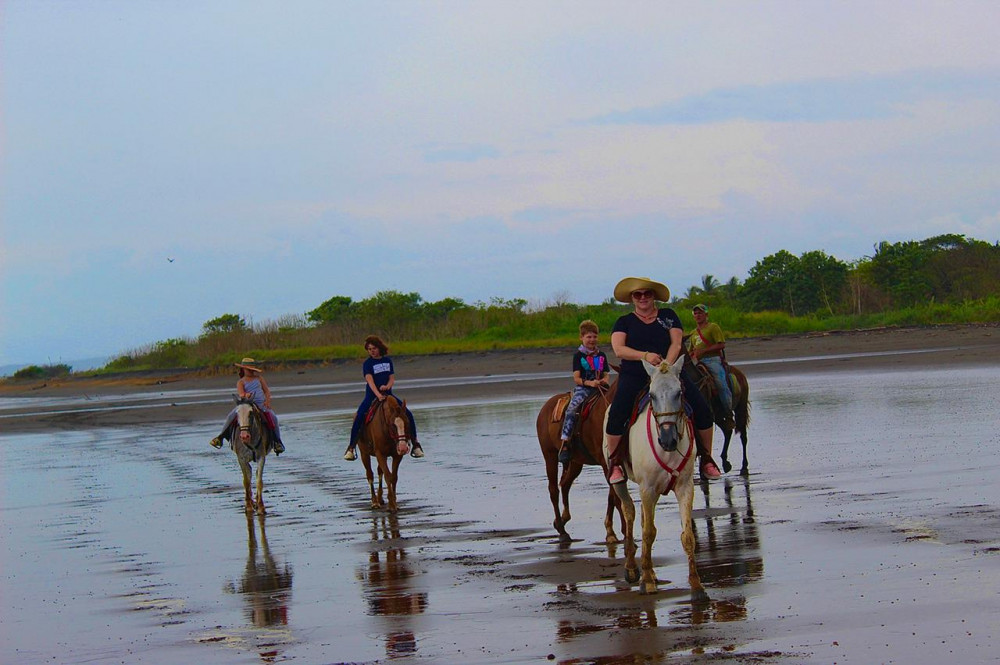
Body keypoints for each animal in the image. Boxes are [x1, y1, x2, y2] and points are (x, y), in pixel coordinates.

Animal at [536, 382, 620, 544]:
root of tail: (545, 407)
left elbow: (614, 496)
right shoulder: (605, 463)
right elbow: (616, 497)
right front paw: (612, 533)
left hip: (575, 462)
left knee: (565, 484)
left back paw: (562, 521)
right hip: (549, 455)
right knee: (553, 490)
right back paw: (562, 531)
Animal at [604, 356, 708, 600]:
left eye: (679, 392)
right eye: (651, 395)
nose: (668, 440)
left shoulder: (684, 487)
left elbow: (687, 536)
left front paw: (696, 586)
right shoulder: (648, 488)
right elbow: (648, 533)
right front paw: (647, 582)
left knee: (642, 519)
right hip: (620, 481)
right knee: (630, 513)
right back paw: (633, 569)